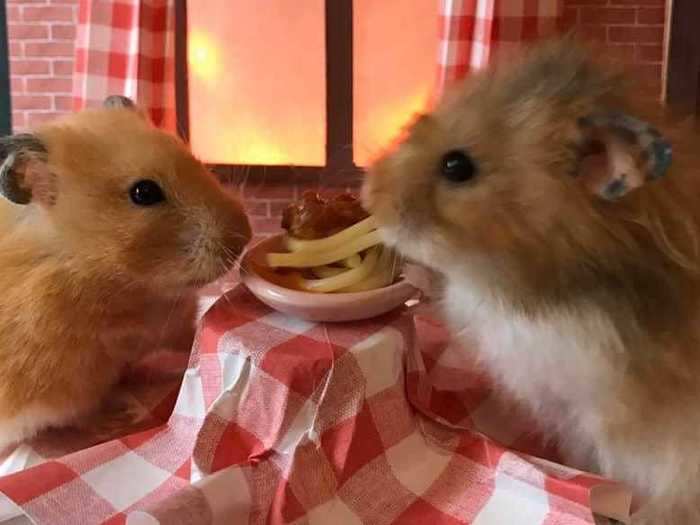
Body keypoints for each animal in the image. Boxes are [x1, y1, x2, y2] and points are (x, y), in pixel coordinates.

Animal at [0, 98, 252, 450]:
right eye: (144, 192)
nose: (244, 235)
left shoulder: (169, 323)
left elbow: (188, 336)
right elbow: (77, 410)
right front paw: (119, 418)